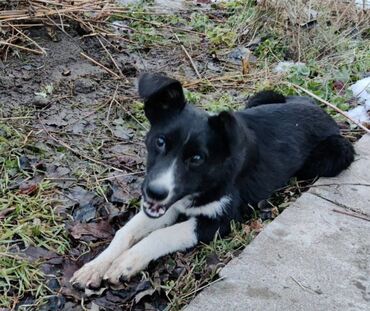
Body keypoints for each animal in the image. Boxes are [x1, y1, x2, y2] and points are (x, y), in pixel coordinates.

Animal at [70, 72, 356, 290]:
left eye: (197, 158)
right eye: (160, 141)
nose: (154, 192)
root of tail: (319, 108)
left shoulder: (222, 219)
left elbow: (163, 234)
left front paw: (127, 262)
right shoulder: (167, 204)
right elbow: (125, 231)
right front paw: (96, 265)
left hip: (332, 155)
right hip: (263, 95)